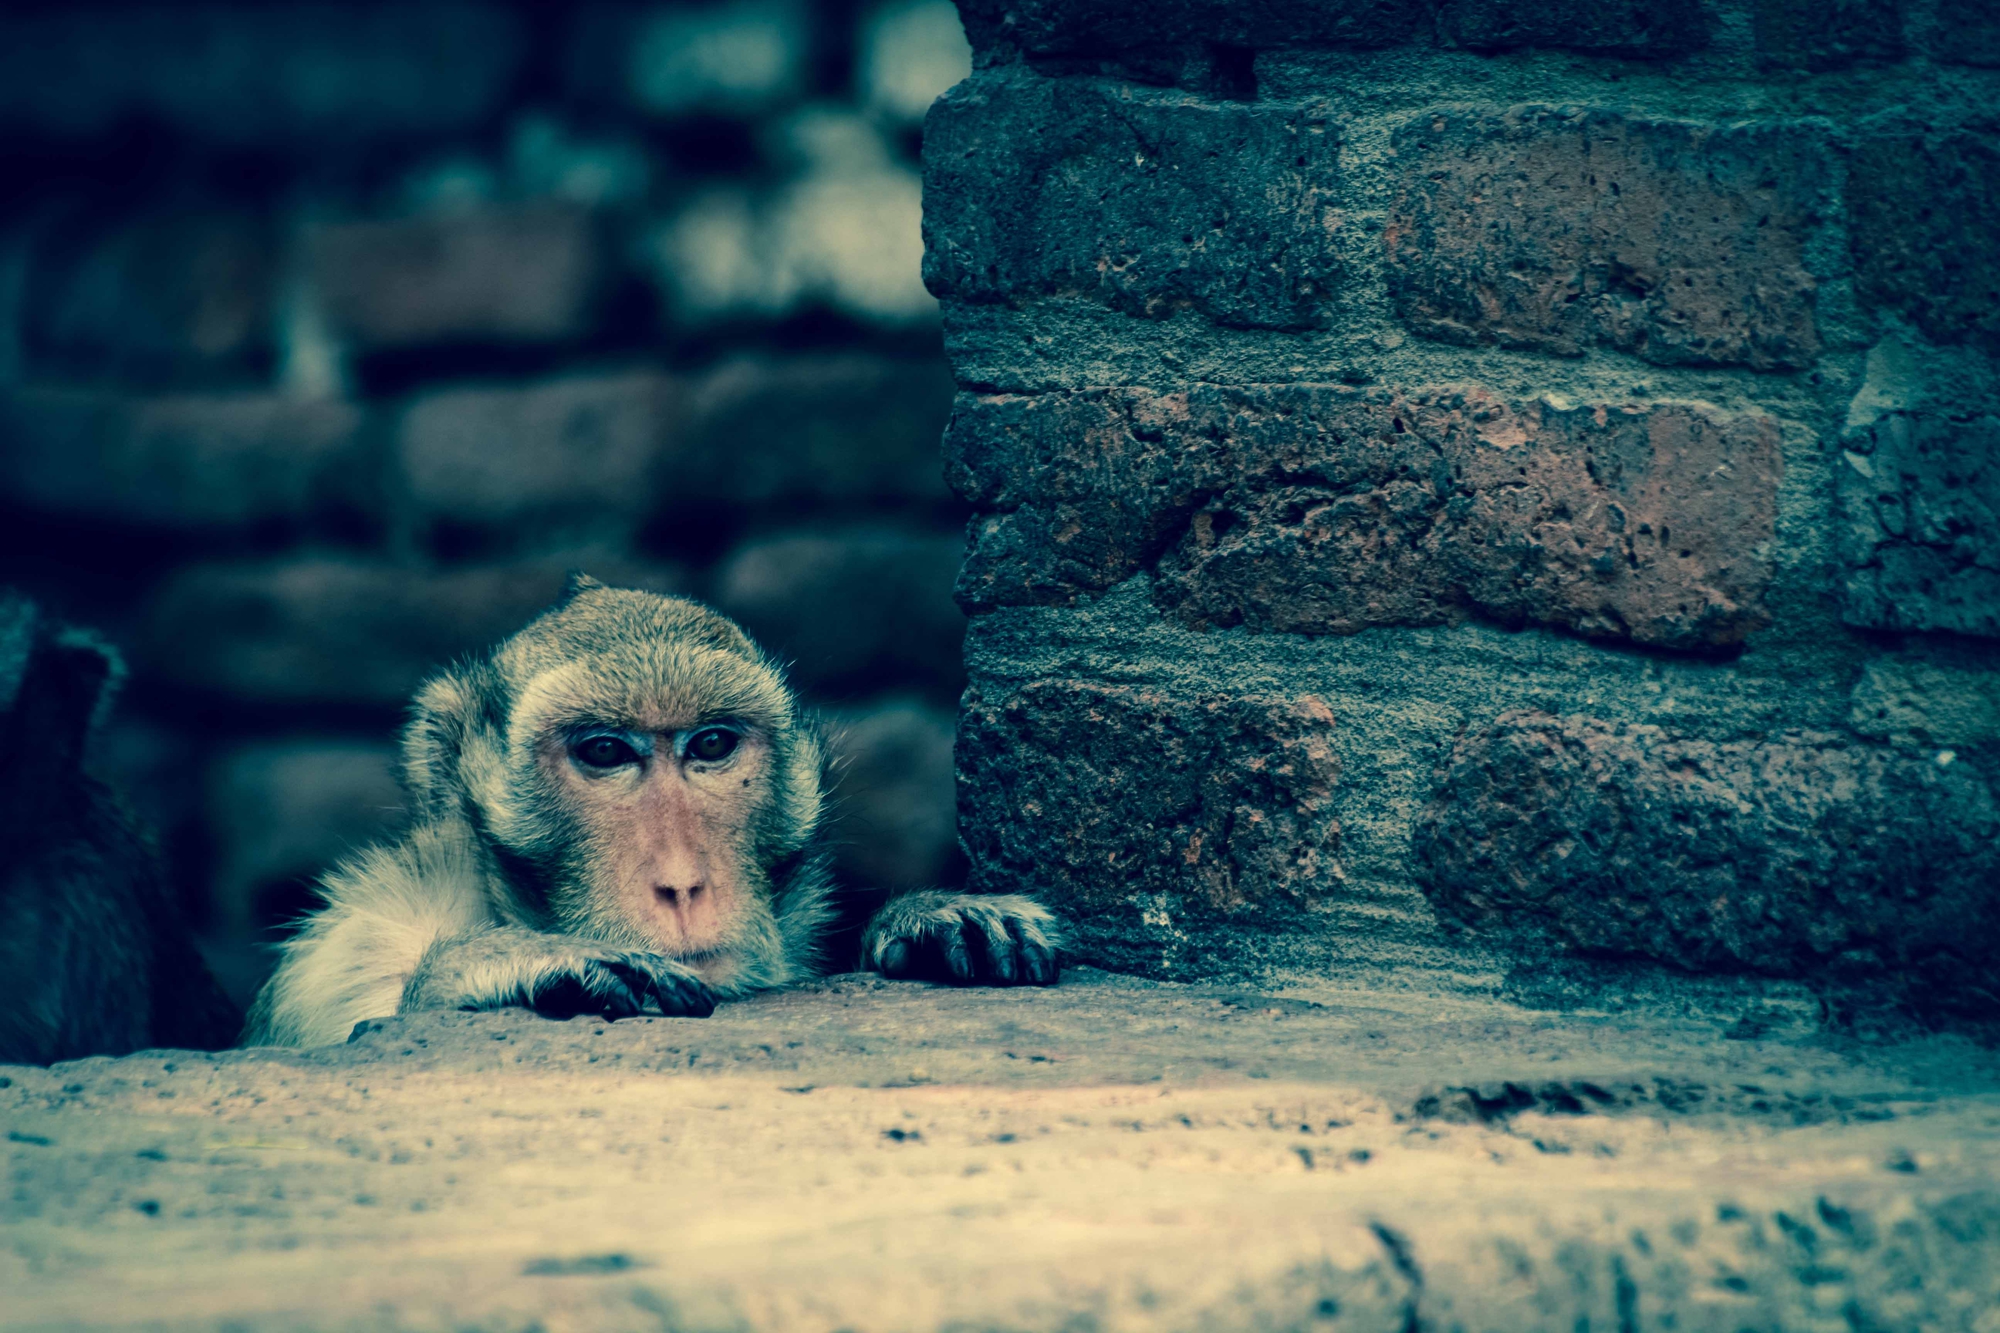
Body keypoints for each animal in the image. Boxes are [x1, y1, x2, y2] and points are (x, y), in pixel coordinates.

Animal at [242, 576, 1064, 1040]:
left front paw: (926, 918)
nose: (682, 883)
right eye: (605, 753)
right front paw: (503, 963)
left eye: (711, 744)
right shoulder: (342, 952)